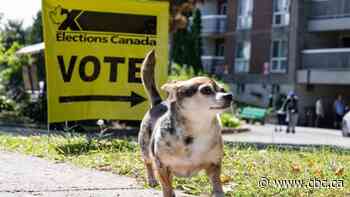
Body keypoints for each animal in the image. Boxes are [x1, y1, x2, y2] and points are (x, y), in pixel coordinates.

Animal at [139, 50, 232, 197]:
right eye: (206, 90)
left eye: (223, 90)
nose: (229, 96)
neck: (197, 128)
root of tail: (159, 103)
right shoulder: (162, 166)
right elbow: (166, 187)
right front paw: (167, 192)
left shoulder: (214, 164)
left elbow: (217, 184)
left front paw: (219, 193)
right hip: (145, 149)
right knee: (148, 163)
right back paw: (152, 179)